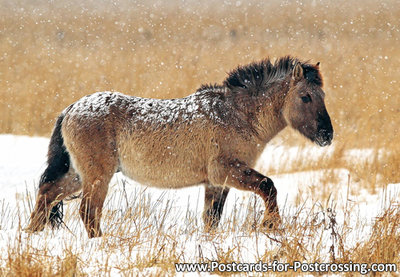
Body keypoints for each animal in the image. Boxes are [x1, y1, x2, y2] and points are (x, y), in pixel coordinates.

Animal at [26, 56, 334, 237]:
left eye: (323, 95)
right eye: (305, 97)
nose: (327, 135)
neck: (236, 114)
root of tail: (71, 109)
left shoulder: (216, 183)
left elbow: (211, 219)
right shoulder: (228, 171)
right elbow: (268, 186)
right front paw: (272, 225)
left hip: (78, 174)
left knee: (47, 194)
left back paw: (32, 235)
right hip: (96, 176)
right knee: (88, 212)